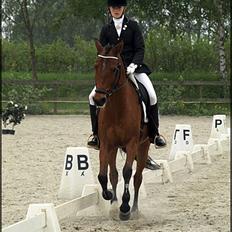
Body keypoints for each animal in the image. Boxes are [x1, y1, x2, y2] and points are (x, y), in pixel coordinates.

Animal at [93, 39, 150, 219]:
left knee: (137, 177)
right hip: (114, 148)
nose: (99, 100)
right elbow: (103, 175)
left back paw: (135, 209)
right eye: (96, 66)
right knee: (113, 174)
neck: (117, 108)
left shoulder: (132, 143)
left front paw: (125, 207)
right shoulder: (106, 144)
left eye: (115, 68)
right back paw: (114, 204)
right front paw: (110, 196)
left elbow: (127, 172)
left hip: (143, 145)